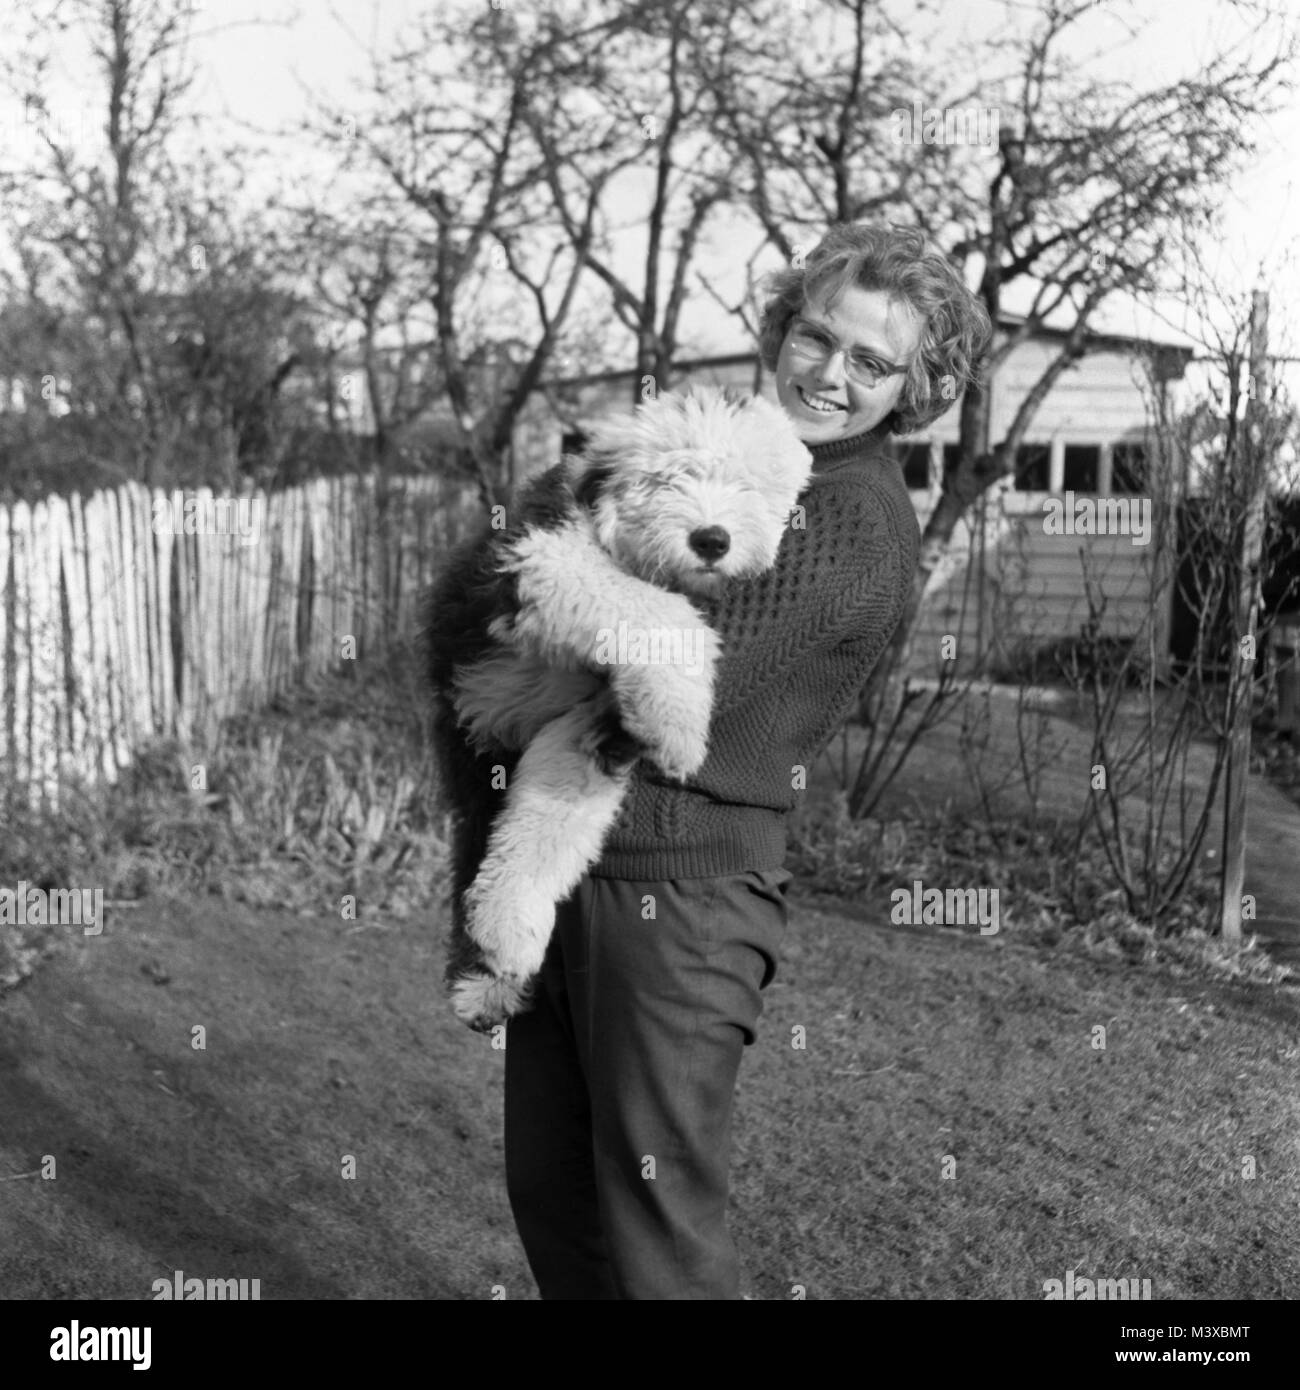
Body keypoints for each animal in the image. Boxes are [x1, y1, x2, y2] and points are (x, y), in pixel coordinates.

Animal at [428, 386, 811, 1028]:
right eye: (669, 478)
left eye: (748, 486)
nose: (712, 540)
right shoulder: (545, 557)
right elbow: (656, 607)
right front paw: (680, 729)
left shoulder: (594, 712)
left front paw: (669, 723)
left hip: (551, 749)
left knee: (534, 833)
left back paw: (499, 957)